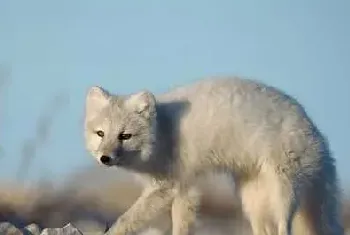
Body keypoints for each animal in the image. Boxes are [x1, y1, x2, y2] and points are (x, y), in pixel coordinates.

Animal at [83, 77, 344, 235]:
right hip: (252, 199)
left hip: (283, 190)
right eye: (100, 133)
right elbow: (181, 223)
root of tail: (316, 132)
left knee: (284, 226)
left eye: (125, 136)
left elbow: (126, 219)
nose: (105, 158)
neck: (162, 133)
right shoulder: (185, 187)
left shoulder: (167, 186)